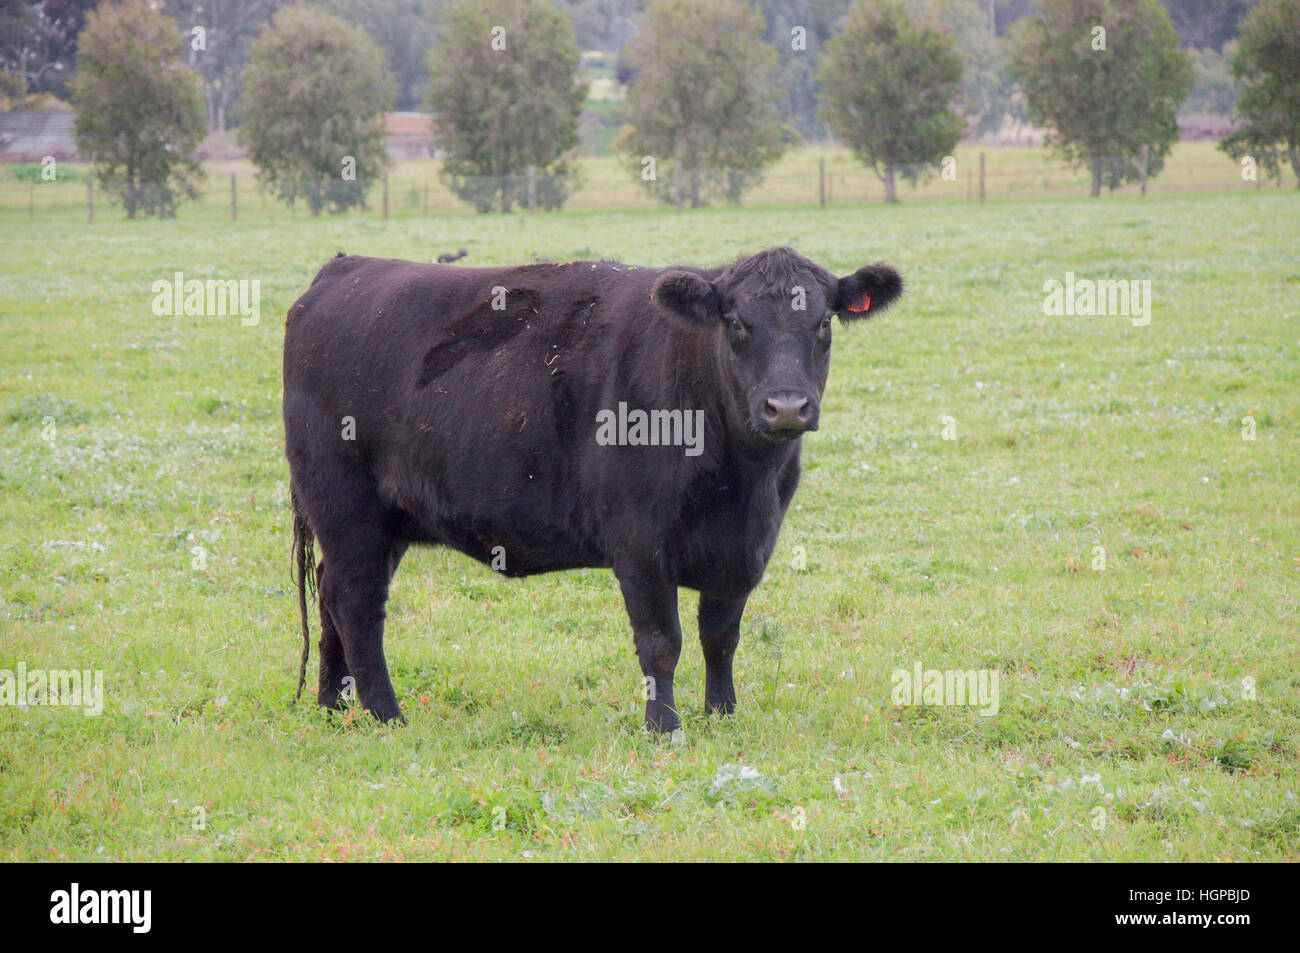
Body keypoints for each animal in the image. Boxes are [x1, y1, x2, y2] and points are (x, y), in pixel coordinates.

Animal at [283, 246, 903, 733]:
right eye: (735, 323)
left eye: (823, 324)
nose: (787, 407)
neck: (744, 481)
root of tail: (346, 269)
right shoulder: (639, 539)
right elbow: (661, 641)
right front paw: (664, 727)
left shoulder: (745, 547)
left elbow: (721, 636)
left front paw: (722, 716)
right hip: (346, 505)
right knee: (356, 602)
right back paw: (386, 714)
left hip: (383, 521)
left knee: (332, 593)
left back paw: (334, 707)